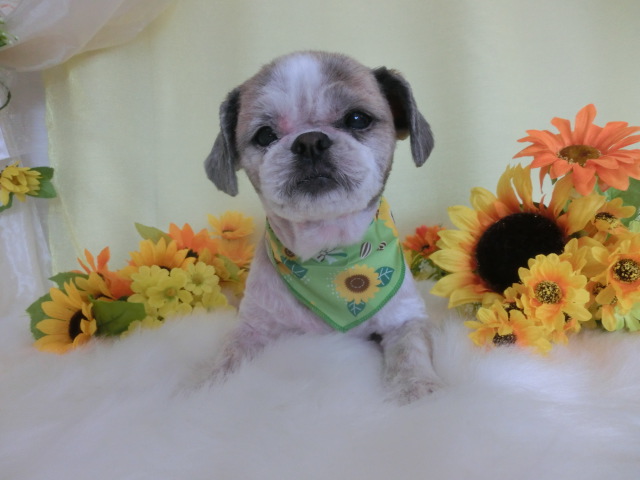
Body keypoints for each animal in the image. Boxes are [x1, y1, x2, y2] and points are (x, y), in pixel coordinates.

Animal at [204, 51, 440, 403]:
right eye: (264, 135)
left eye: (357, 119)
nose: (310, 141)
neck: (329, 255)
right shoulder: (254, 326)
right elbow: (228, 359)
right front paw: (206, 390)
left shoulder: (406, 316)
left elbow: (410, 352)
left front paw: (416, 390)